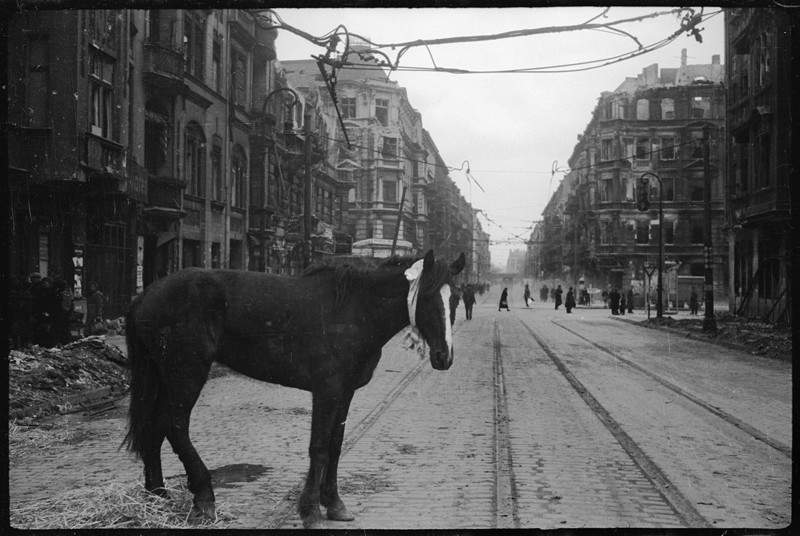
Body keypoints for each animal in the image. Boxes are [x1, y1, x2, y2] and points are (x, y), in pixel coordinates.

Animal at [122, 250, 466, 528]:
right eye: (428, 297)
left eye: (455, 298)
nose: (444, 357)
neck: (354, 309)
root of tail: (144, 295)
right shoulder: (327, 391)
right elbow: (320, 447)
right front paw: (311, 510)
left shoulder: (345, 392)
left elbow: (336, 444)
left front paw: (334, 504)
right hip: (186, 375)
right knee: (175, 426)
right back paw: (203, 498)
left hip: (164, 377)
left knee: (155, 429)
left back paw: (157, 497)